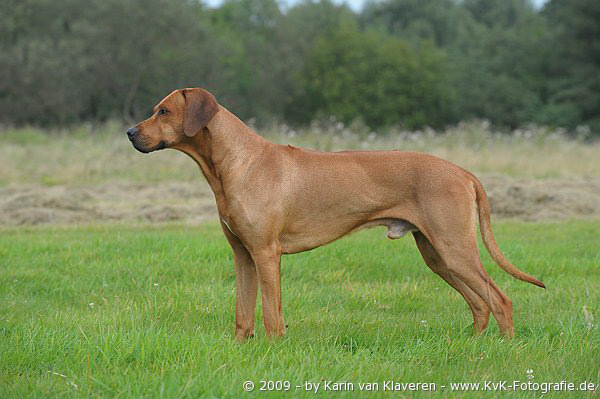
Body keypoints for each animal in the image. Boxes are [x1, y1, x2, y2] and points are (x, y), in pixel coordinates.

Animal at [129, 87, 548, 340]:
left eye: (163, 111)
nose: (130, 132)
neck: (235, 163)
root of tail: (464, 172)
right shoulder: (243, 255)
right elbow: (243, 313)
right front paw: (240, 350)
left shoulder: (266, 253)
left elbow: (271, 313)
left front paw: (274, 350)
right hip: (437, 254)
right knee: (479, 303)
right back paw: (473, 345)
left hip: (455, 248)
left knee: (500, 300)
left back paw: (503, 350)